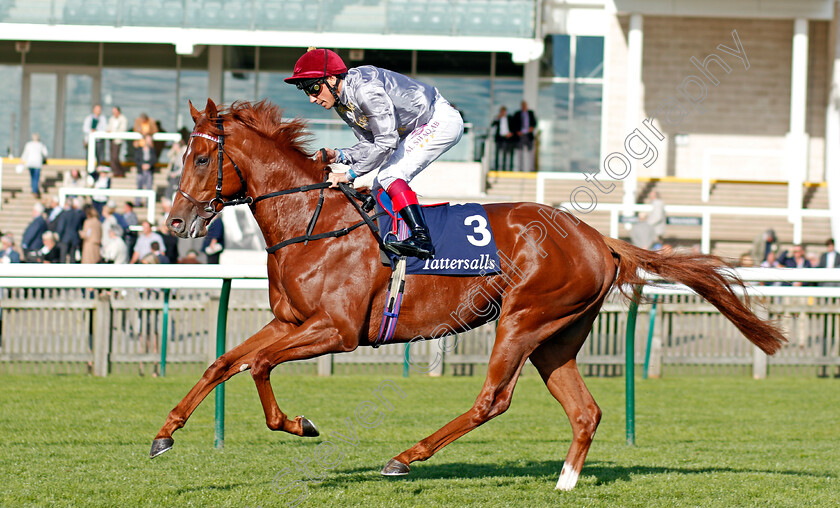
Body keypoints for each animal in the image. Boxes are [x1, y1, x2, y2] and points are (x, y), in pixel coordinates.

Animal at [153, 97, 788, 490]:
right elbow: (224, 362)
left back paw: (405, 458)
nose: (176, 222)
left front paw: (298, 424)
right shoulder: (290, 322)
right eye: (181, 155)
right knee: (584, 410)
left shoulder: (336, 330)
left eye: (202, 157)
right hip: (556, 337)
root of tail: (599, 238)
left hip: (523, 319)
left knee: (492, 400)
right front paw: (164, 434)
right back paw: (564, 481)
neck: (314, 222)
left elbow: (258, 366)